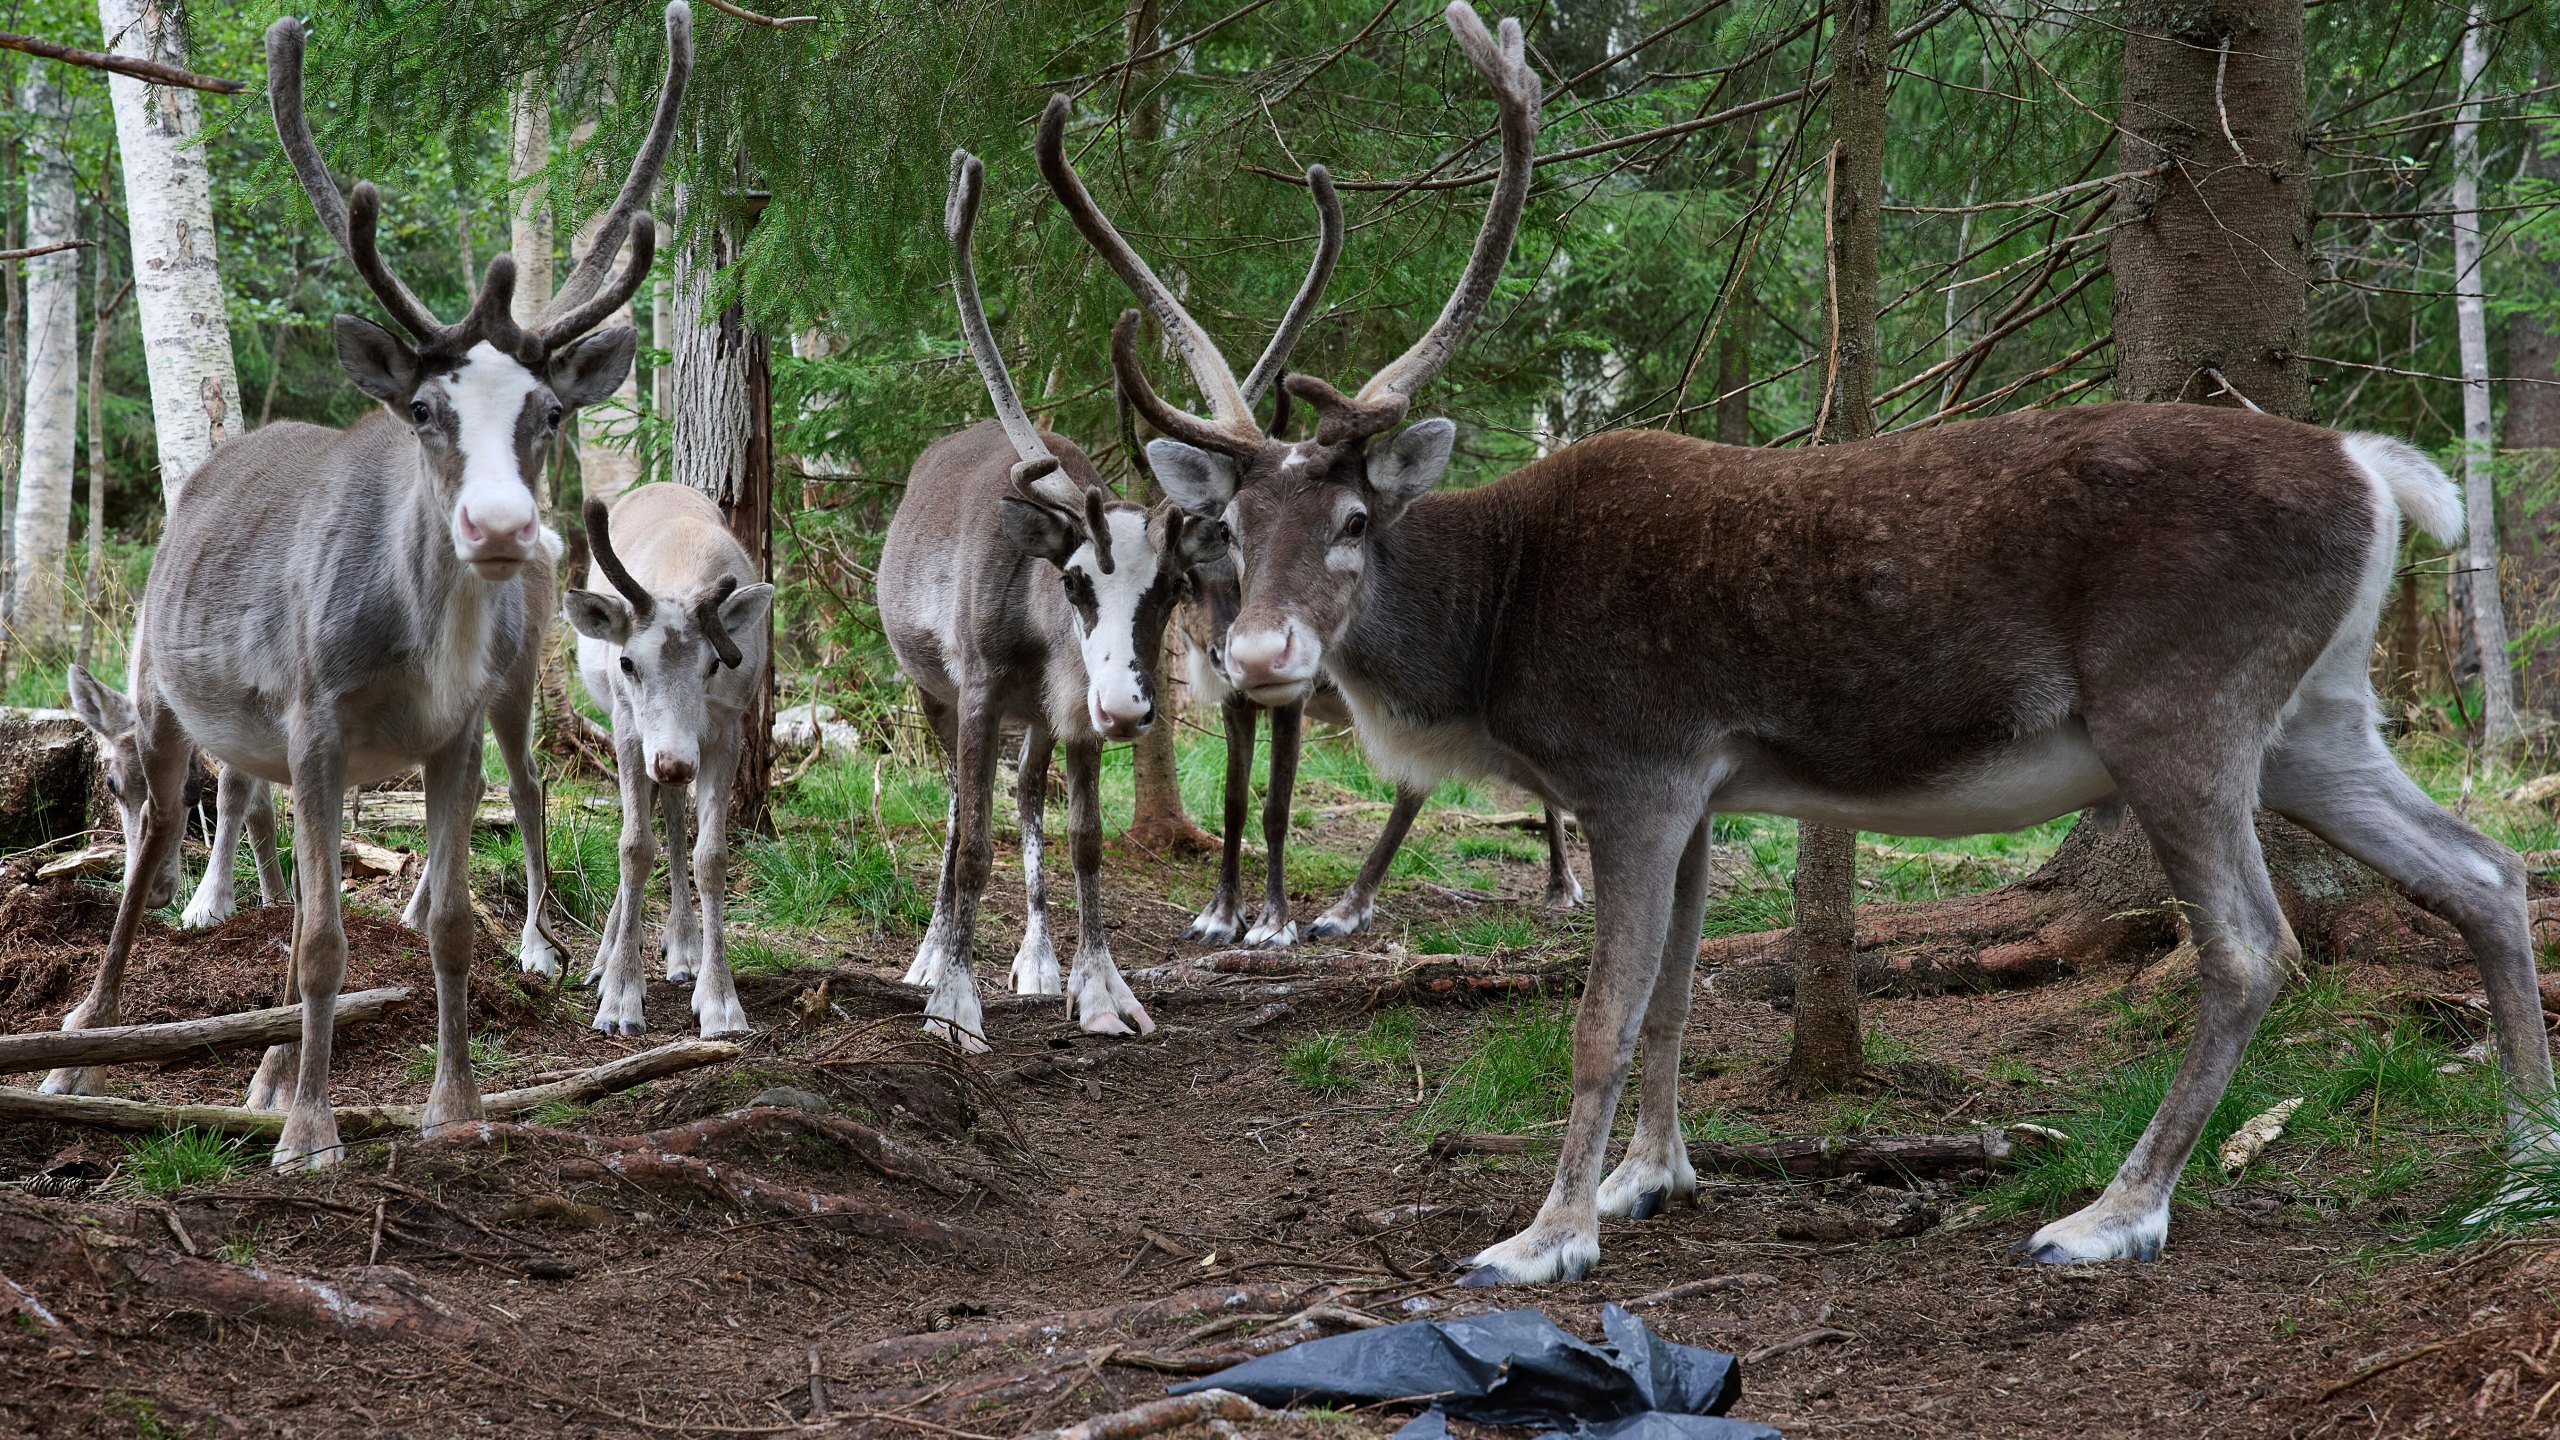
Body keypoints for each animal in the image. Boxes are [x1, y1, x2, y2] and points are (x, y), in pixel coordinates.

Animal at [33, 4, 689, 1171]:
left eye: (548, 413)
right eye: (424, 409)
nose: (502, 528)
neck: (415, 649)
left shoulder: (452, 731)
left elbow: (446, 925)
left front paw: (454, 1105)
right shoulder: (316, 717)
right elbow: (324, 940)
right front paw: (309, 1132)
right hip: (161, 693)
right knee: (152, 850)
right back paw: (84, 1042)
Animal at [566, 486, 771, 1038]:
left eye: (716, 662)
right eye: (627, 662)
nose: (674, 762)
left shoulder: (725, 730)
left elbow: (712, 857)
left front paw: (720, 1001)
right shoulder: (628, 726)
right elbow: (634, 847)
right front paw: (620, 996)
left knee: (674, 808)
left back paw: (684, 947)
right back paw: (605, 957)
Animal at [874, 147, 1339, 1051]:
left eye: (1173, 586)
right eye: (1074, 581)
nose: (1128, 705)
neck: (1037, 627)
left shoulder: (1073, 714)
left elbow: (1084, 840)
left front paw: (1097, 990)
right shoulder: (981, 692)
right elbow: (972, 842)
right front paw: (953, 1004)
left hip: (1043, 720)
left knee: (1027, 798)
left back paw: (1036, 961)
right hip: (931, 691)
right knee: (953, 813)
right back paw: (929, 955)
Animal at [1062, 0, 2556, 1283]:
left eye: (1357, 518)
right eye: (1223, 527)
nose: (1261, 660)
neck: (1489, 637)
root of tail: (2375, 472)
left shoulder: (1636, 768)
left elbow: (1600, 1015)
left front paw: (1545, 1235)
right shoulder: (1702, 789)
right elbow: (1673, 994)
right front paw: (1647, 1179)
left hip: (2176, 711)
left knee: (2253, 945)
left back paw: (2114, 1212)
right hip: (2316, 717)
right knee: (2481, 871)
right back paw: (2522, 1159)